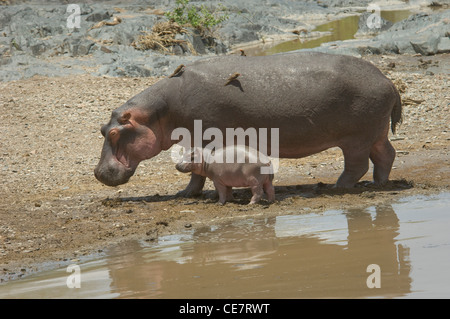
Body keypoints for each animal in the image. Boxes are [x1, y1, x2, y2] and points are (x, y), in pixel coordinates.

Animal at [94, 51, 400, 196]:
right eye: (101, 129)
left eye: (114, 132)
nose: (97, 173)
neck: (160, 111)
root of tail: (387, 79)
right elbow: (196, 171)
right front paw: (187, 193)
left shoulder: (205, 138)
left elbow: (198, 172)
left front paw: (188, 192)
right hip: (375, 132)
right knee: (386, 155)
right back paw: (379, 184)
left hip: (357, 138)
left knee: (357, 165)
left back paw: (337, 187)